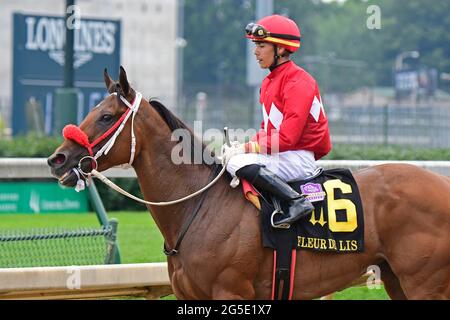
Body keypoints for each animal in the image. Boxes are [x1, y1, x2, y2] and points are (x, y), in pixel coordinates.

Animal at [47, 67, 448, 300]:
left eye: (106, 116)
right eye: (92, 111)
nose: (57, 159)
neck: (197, 208)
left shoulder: (231, 291)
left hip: (424, 283)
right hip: (396, 279)